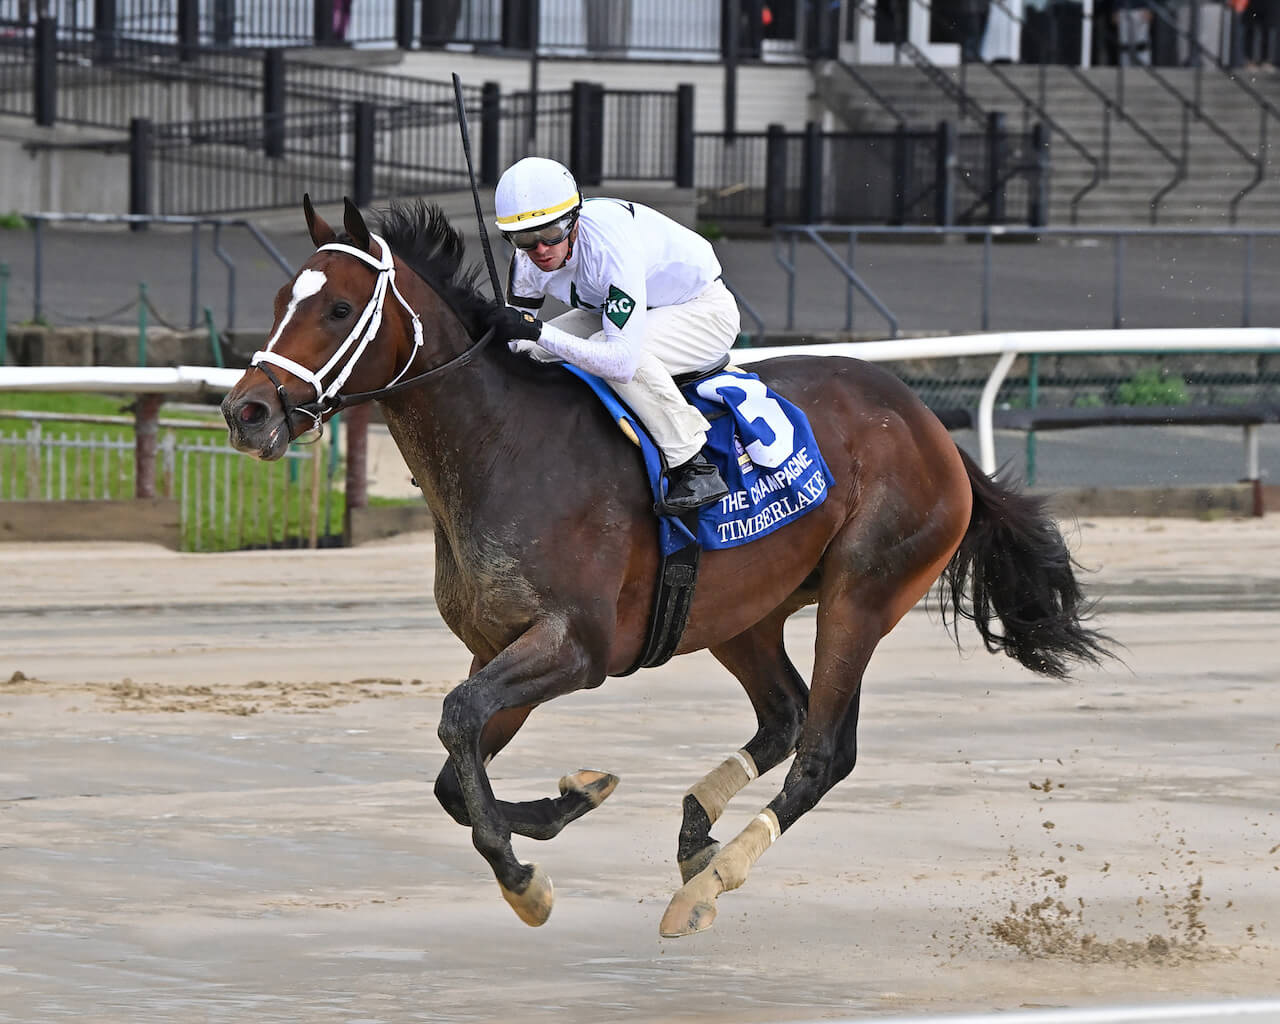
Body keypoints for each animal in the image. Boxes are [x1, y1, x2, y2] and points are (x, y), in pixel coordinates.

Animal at [222, 195, 1111, 942]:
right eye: (280, 299)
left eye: (338, 309)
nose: (246, 411)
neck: (504, 445)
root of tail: (932, 429)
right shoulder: (500, 644)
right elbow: (455, 761)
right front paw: (571, 801)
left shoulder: (577, 647)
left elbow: (458, 723)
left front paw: (524, 879)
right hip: (741, 611)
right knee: (785, 715)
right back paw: (695, 833)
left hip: (864, 593)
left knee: (825, 750)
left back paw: (709, 884)